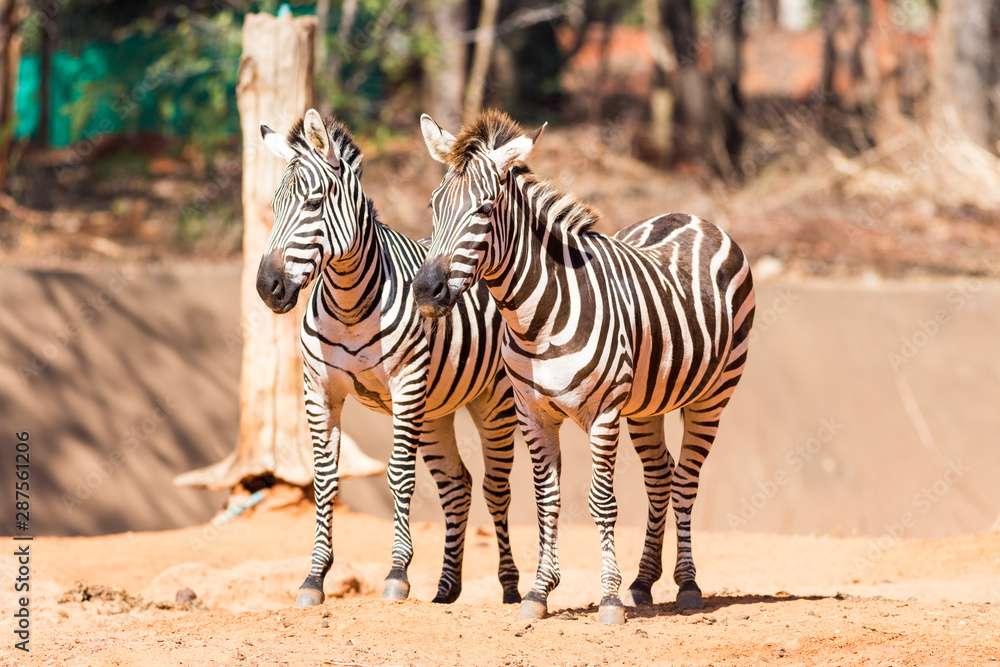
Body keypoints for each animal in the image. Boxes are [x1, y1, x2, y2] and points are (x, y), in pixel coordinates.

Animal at [256, 109, 521, 607]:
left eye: (314, 203)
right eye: (275, 206)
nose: (267, 287)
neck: (349, 305)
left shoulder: (407, 385)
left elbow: (399, 476)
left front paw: (397, 573)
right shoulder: (319, 392)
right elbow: (324, 480)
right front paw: (314, 577)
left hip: (493, 402)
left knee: (497, 488)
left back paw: (512, 587)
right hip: (435, 412)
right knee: (457, 485)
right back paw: (446, 590)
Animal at [412, 110, 755, 624]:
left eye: (485, 210)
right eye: (435, 205)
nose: (426, 291)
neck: (537, 318)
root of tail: (693, 216)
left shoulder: (604, 414)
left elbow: (602, 501)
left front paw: (608, 599)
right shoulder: (532, 414)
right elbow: (546, 501)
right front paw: (539, 592)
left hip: (712, 397)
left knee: (687, 480)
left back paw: (687, 584)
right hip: (648, 402)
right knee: (661, 476)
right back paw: (644, 582)